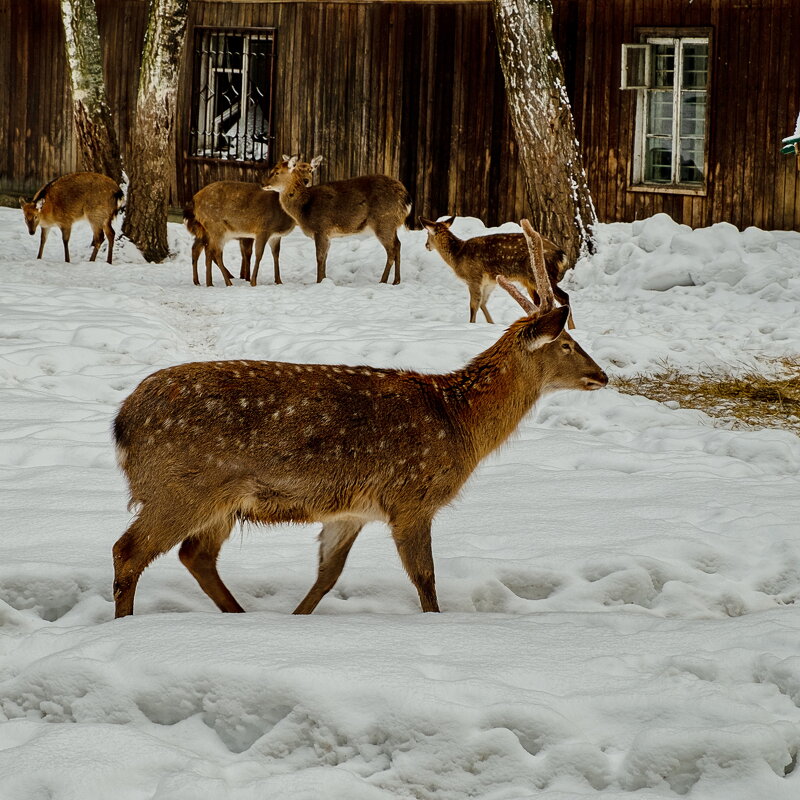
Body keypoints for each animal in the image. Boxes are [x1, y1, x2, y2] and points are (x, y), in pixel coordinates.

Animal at [112, 219, 608, 620]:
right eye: (566, 344)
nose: (601, 375)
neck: (458, 422)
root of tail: (122, 423)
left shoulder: (351, 509)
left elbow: (326, 577)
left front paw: (298, 618)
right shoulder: (412, 498)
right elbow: (425, 579)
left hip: (219, 500)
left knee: (195, 555)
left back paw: (238, 616)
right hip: (182, 485)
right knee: (129, 551)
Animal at [183, 164, 314, 286]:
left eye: (310, 170)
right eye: (295, 172)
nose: (306, 181)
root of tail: (194, 200)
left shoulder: (275, 236)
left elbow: (276, 255)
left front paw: (278, 281)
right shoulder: (263, 229)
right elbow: (258, 255)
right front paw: (253, 281)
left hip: (207, 230)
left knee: (203, 250)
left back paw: (206, 282)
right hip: (216, 227)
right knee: (215, 252)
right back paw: (227, 282)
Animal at [264, 154, 412, 284]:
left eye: (276, 172)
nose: (264, 184)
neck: (304, 207)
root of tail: (406, 198)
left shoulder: (321, 228)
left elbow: (319, 258)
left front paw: (319, 282)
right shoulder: (328, 234)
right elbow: (325, 258)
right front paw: (324, 280)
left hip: (384, 221)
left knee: (392, 250)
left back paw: (383, 280)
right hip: (392, 224)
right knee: (398, 244)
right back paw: (396, 281)